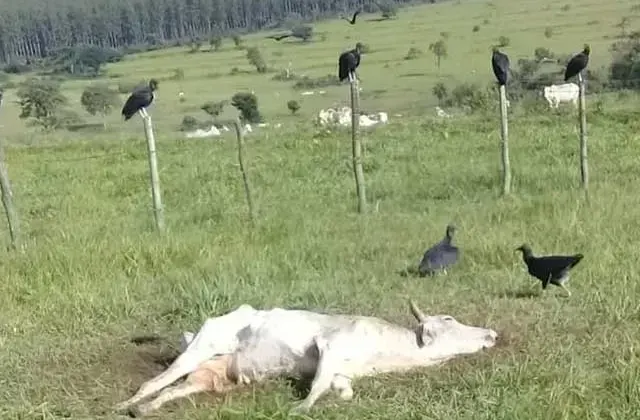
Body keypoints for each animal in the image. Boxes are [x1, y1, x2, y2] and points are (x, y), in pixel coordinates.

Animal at [116, 300, 500, 416]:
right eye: (449, 318)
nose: (492, 334)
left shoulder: (344, 372)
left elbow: (342, 389)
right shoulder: (328, 345)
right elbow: (316, 384)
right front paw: (300, 408)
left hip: (208, 375)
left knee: (174, 389)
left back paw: (145, 410)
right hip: (203, 345)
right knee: (155, 381)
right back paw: (126, 405)